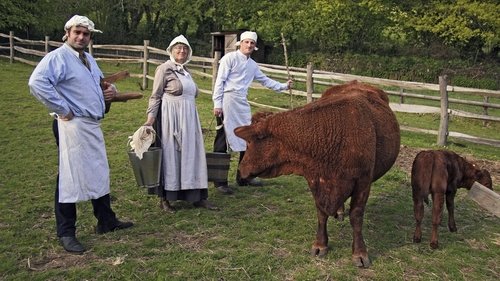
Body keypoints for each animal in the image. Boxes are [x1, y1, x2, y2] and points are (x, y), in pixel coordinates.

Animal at [232, 80, 400, 266]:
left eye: (248, 144)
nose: (240, 170)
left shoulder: (363, 182)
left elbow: (356, 216)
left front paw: (360, 253)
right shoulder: (315, 179)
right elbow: (321, 213)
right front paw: (320, 244)